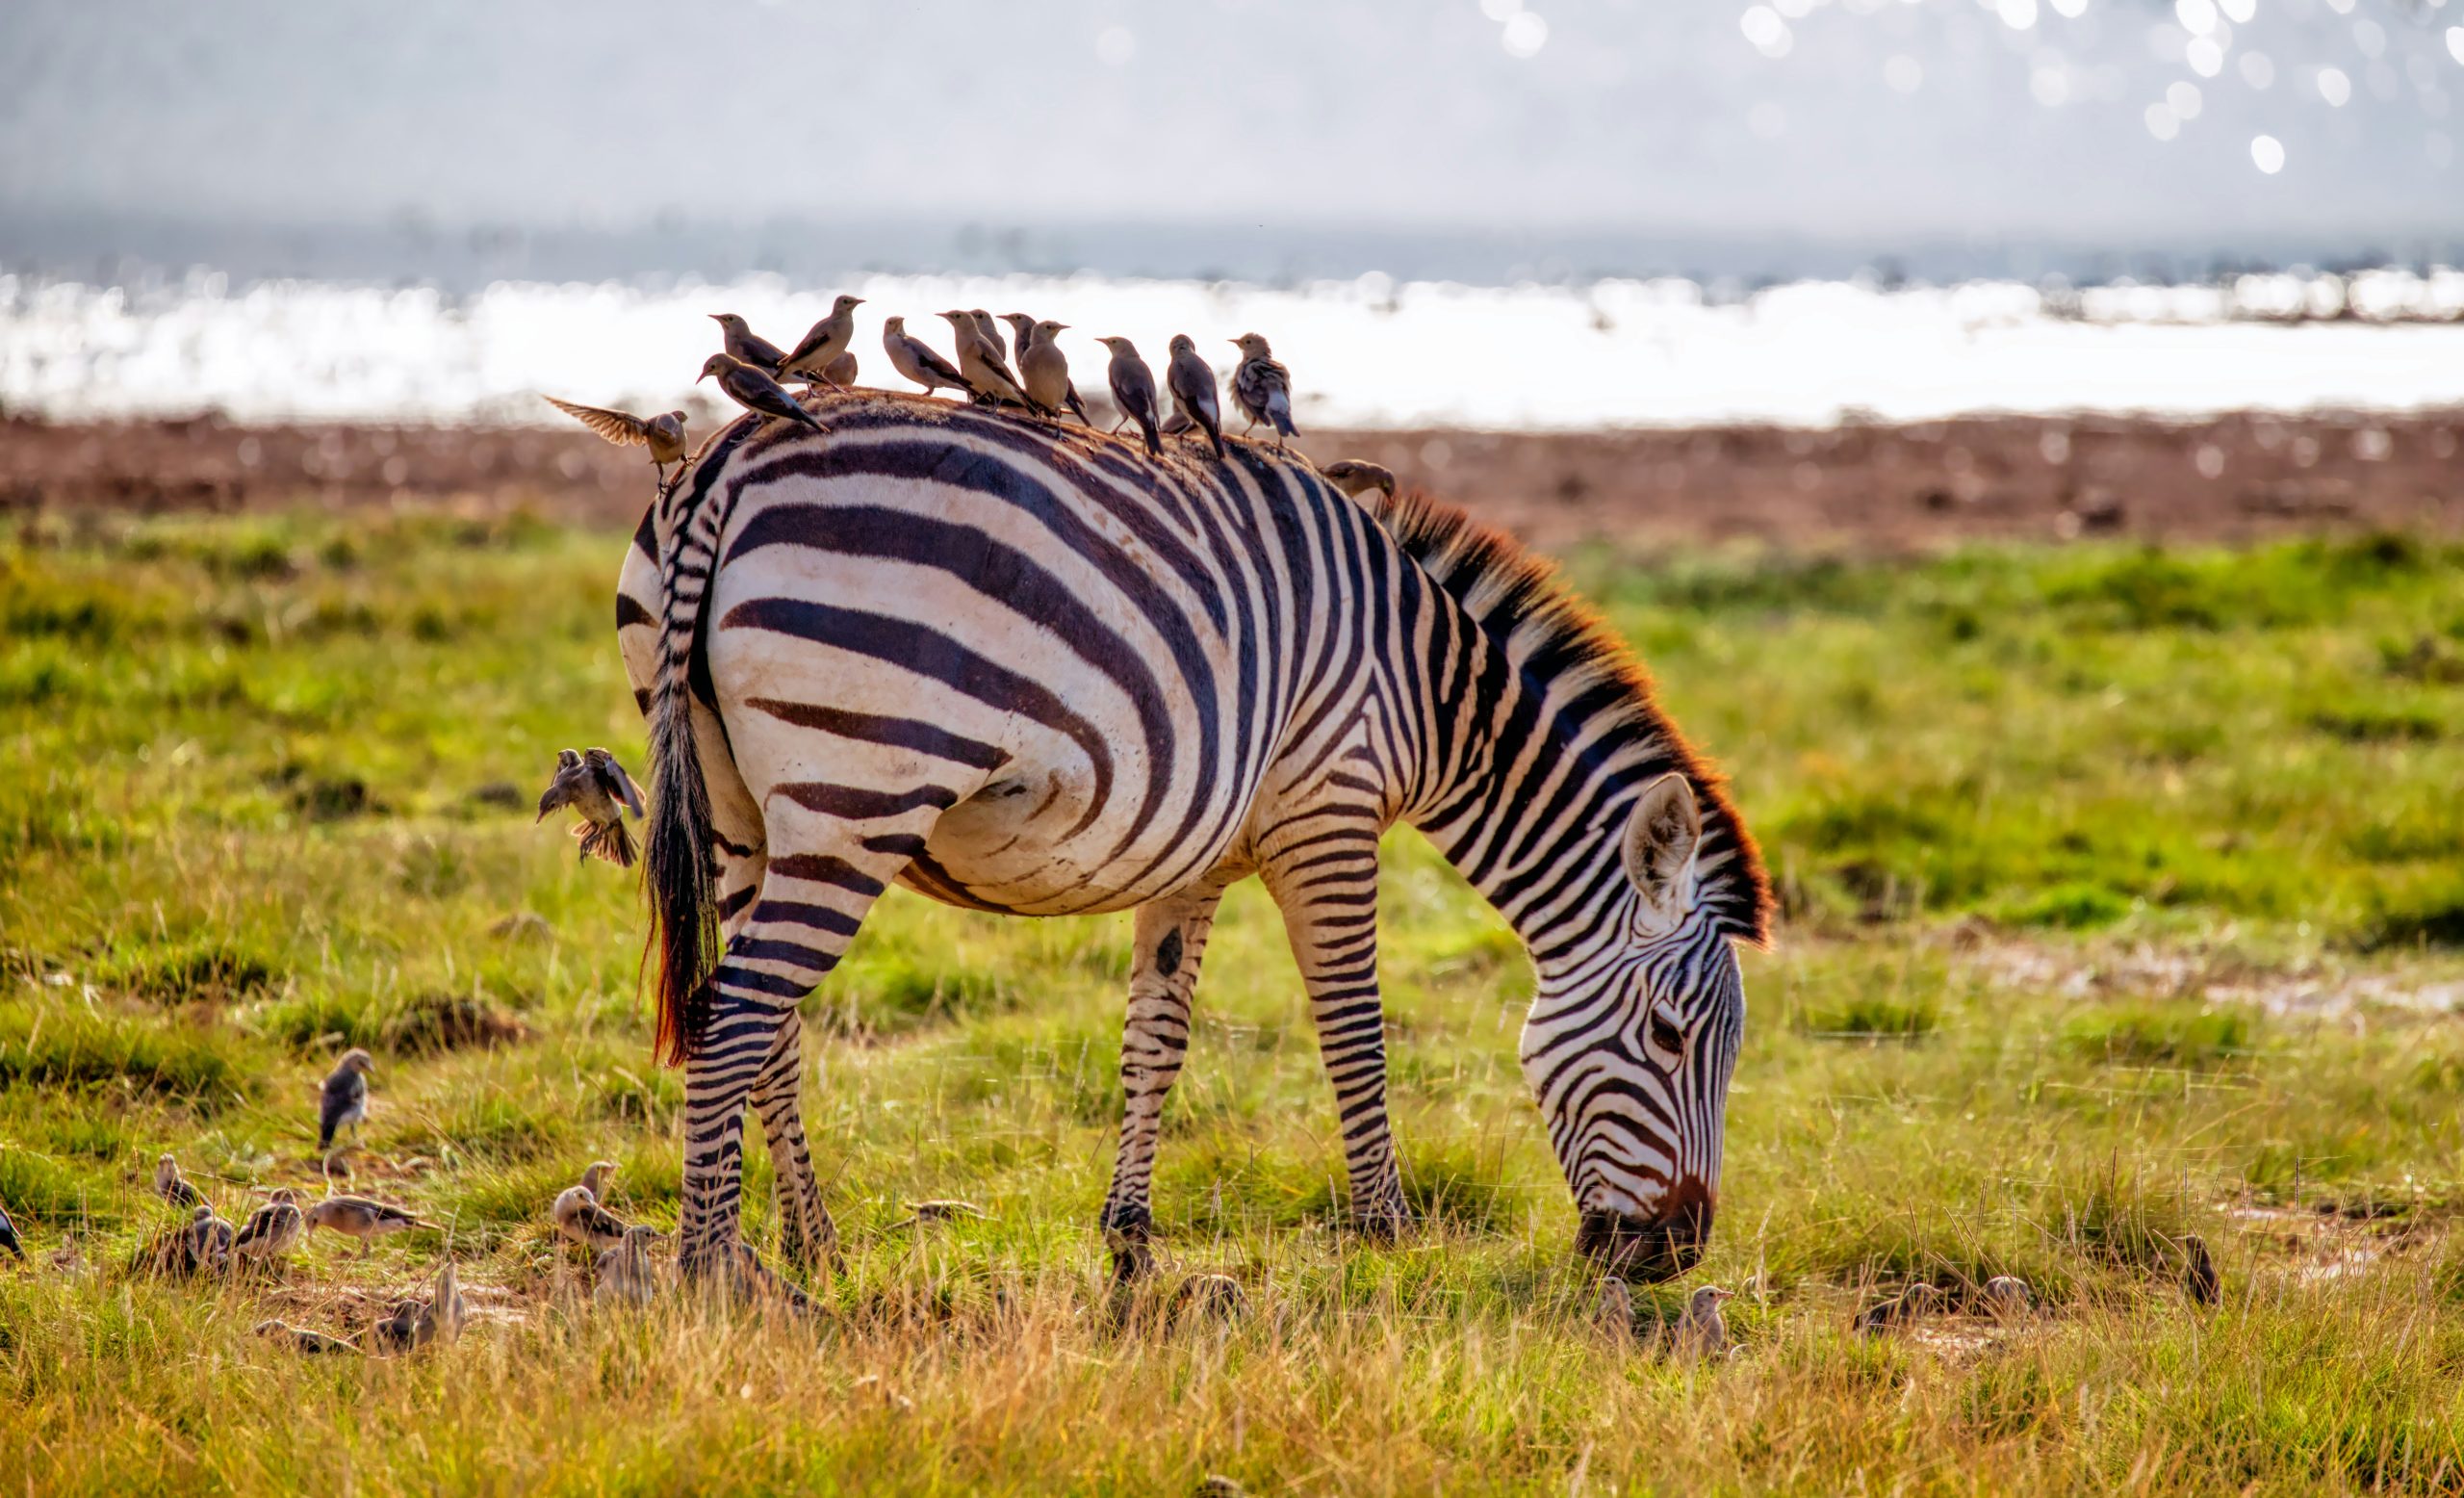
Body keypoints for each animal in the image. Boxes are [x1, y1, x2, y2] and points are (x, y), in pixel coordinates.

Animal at [616, 391, 1774, 1291]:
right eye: (1672, 1036)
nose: (1673, 1256)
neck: (1427, 686)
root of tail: (729, 454)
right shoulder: (1329, 808)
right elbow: (1355, 1025)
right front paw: (1387, 1236)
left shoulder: (1198, 855)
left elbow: (1156, 1039)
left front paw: (1129, 1243)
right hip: (856, 791)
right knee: (739, 1010)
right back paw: (710, 1271)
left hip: (738, 811)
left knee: (765, 1020)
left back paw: (809, 1246)